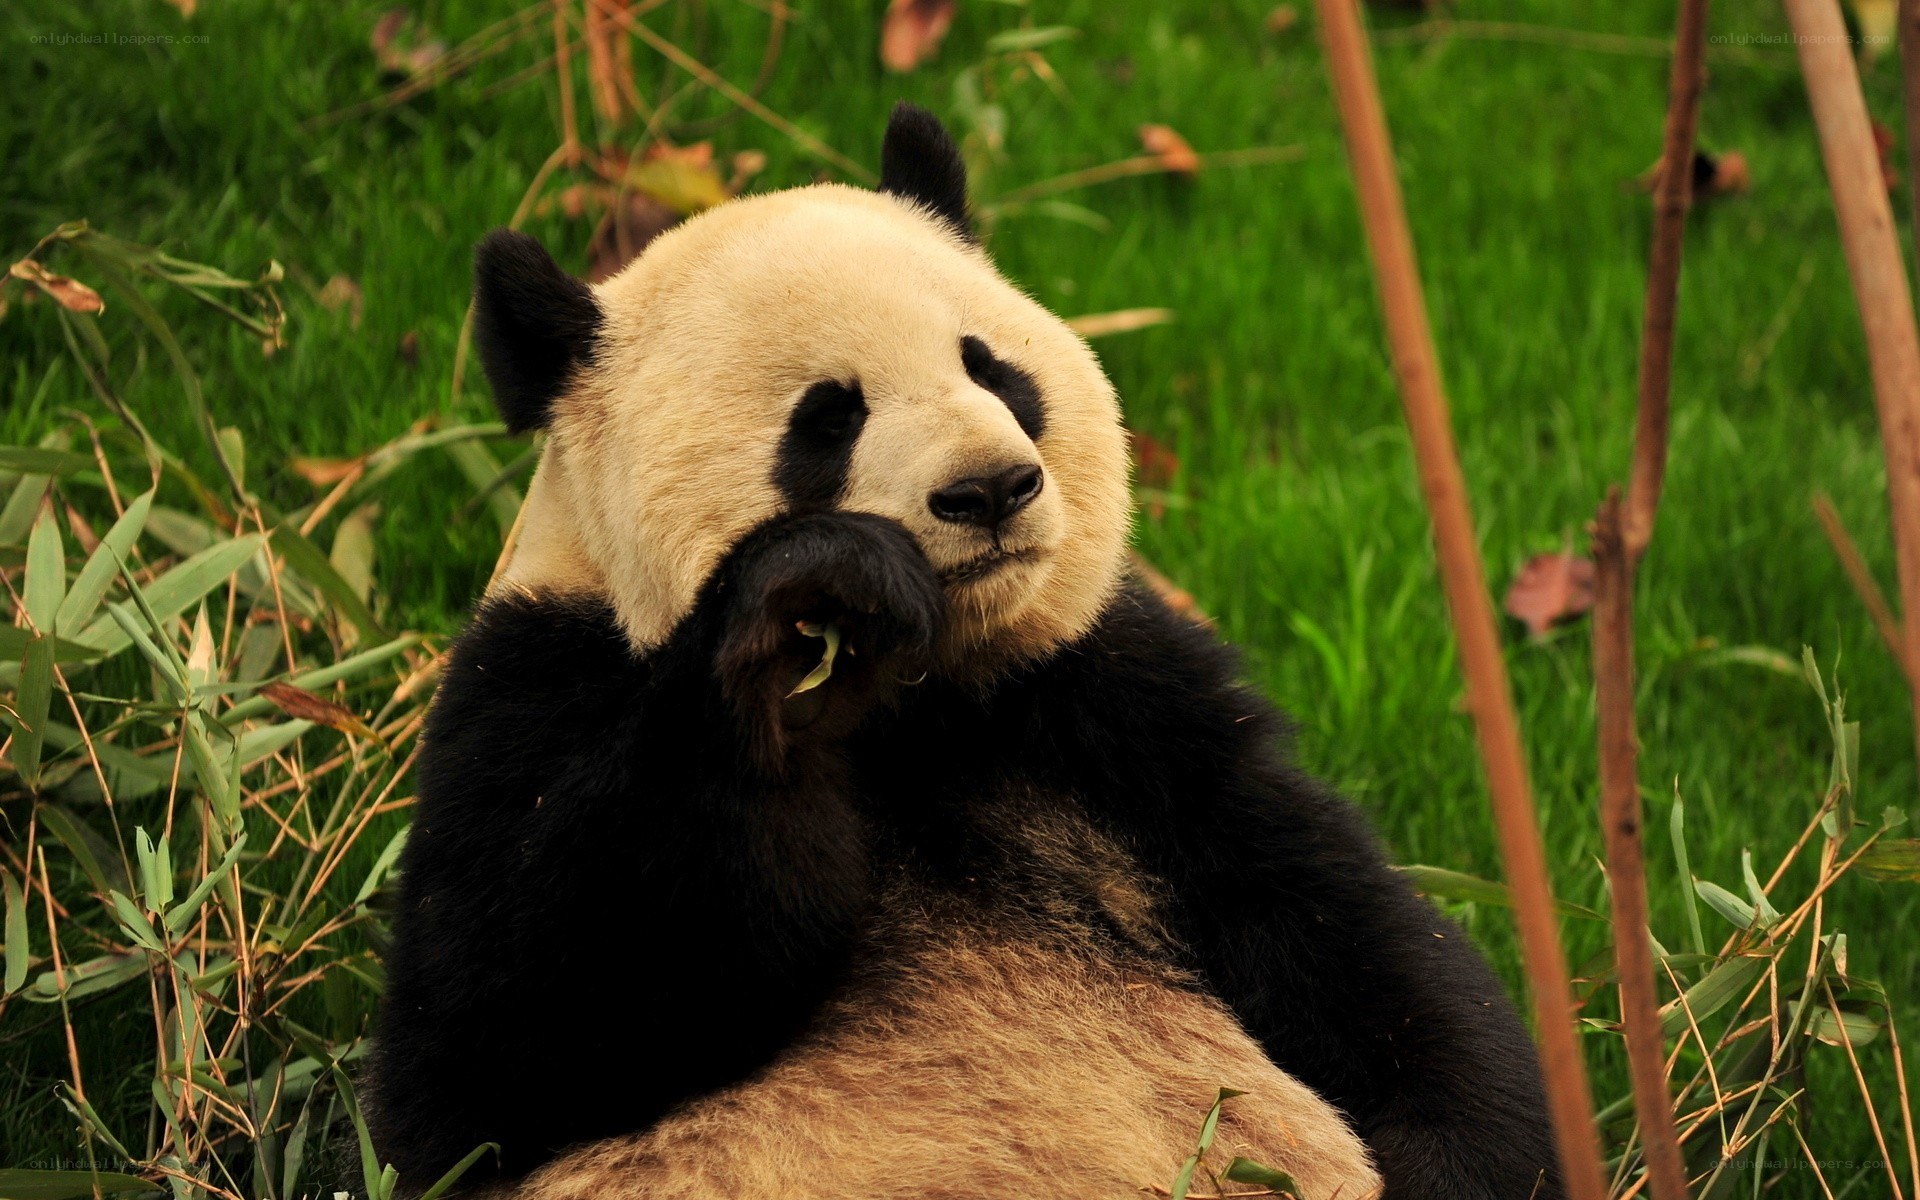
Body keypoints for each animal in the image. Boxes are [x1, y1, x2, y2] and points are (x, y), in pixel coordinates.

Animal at [365, 104, 1562, 1200]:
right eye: (827, 418)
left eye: (992, 367)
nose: (992, 487)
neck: (926, 695)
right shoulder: (532, 684)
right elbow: (492, 1051)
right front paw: (811, 607)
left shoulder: (1102, 693)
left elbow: (1346, 928)